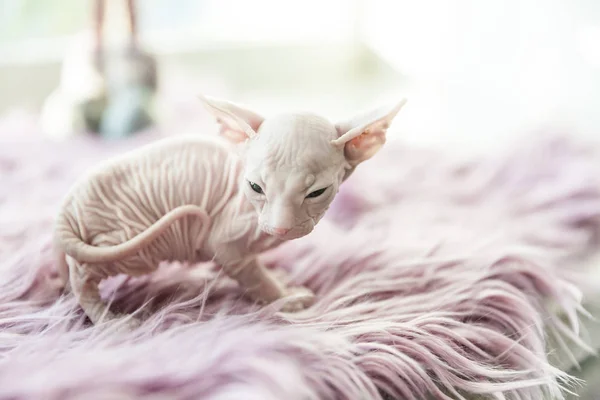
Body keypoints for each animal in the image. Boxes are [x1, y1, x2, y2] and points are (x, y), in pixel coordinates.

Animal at [52, 95, 408, 326]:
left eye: (316, 193)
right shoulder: (225, 240)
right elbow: (253, 276)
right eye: (255, 187)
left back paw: (57, 284)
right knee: (83, 274)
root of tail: (66, 210)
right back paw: (106, 318)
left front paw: (278, 278)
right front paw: (285, 298)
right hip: (132, 245)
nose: (279, 228)